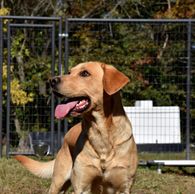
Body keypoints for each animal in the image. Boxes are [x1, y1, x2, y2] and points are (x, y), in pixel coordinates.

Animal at [14, 61, 137, 194]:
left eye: (85, 73)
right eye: (69, 72)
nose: (52, 80)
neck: (101, 133)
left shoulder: (123, 187)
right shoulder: (82, 185)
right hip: (58, 181)